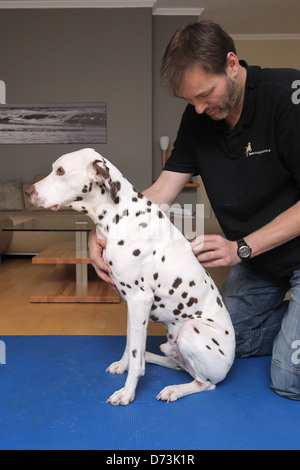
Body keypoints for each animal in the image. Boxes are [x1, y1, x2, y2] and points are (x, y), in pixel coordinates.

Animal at [25, 148, 236, 404]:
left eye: (61, 171)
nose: (28, 192)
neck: (122, 216)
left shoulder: (139, 301)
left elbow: (135, 358)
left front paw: (127, 392)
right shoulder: (131, 305)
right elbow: (129, 345)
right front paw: (123, 365)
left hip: (190, 331)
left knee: (205, 383)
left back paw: (175, 388)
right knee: (175, 363)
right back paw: (153, 356)